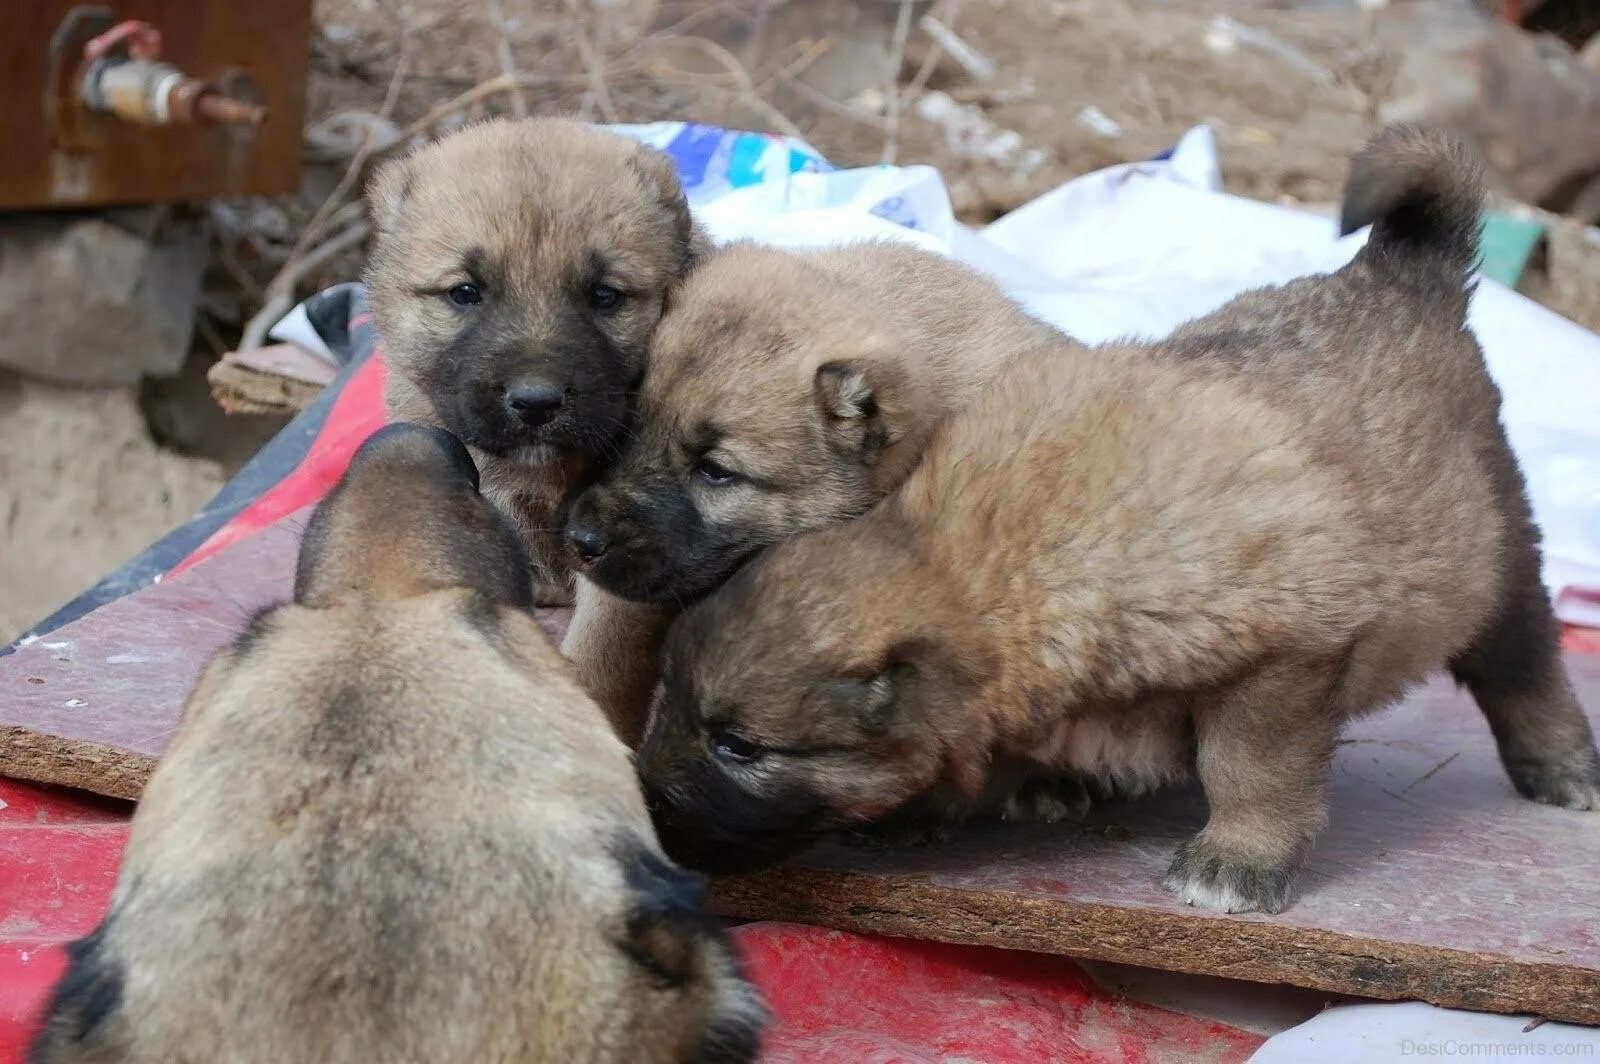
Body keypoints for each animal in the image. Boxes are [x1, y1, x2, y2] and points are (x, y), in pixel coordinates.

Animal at [630, 128, 1600, 915]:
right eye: (667, 701)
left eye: (737, 746)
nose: (645, 811)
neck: (991, 563)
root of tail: (1400, 272)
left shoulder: (1285, 655)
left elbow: (1253, 768)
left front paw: (1237, 862)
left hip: (1497, 551)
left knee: (1525, 661)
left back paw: (1560, 765)